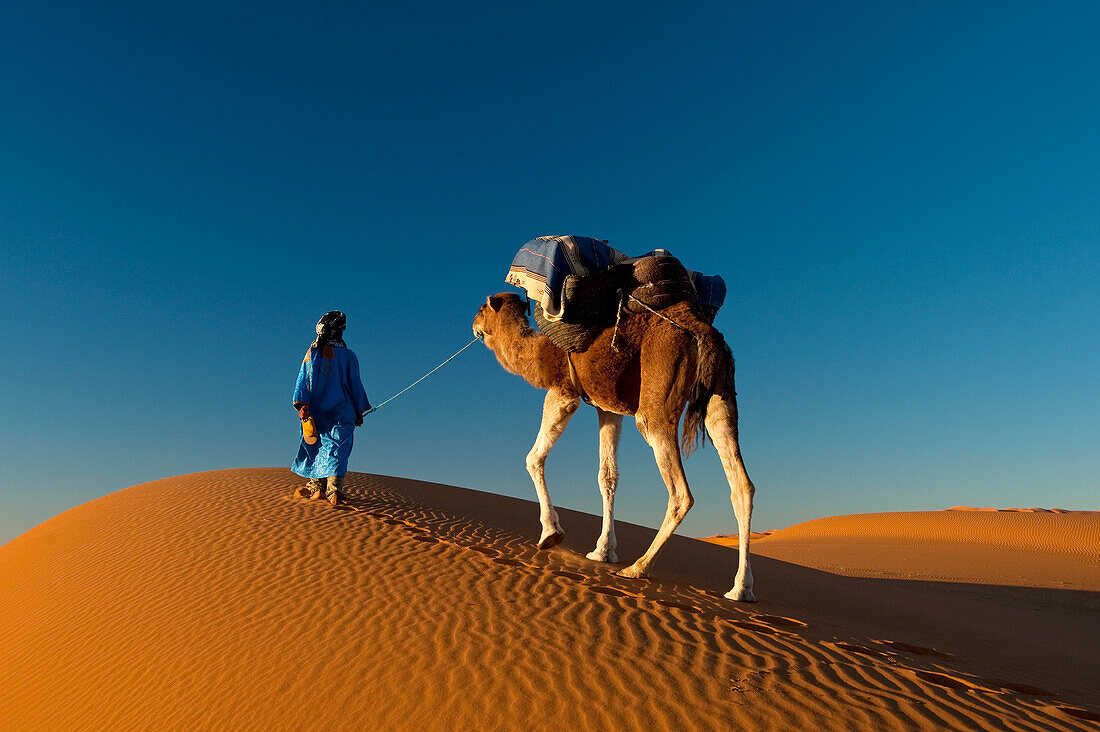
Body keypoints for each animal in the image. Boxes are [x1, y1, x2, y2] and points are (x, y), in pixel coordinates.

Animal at [473, 286, 756, 598]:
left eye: (481, 309)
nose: (473, 325)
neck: (537, 353)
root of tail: (703, 333)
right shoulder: (608, 409)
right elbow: (607, 476)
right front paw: (603, 551)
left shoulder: (562, 392)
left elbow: (533, 458)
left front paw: (551, 533)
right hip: (721, 396)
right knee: (741, 484)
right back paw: (741, 589)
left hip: (659, 393)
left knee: (681, 491)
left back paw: (638, 567)